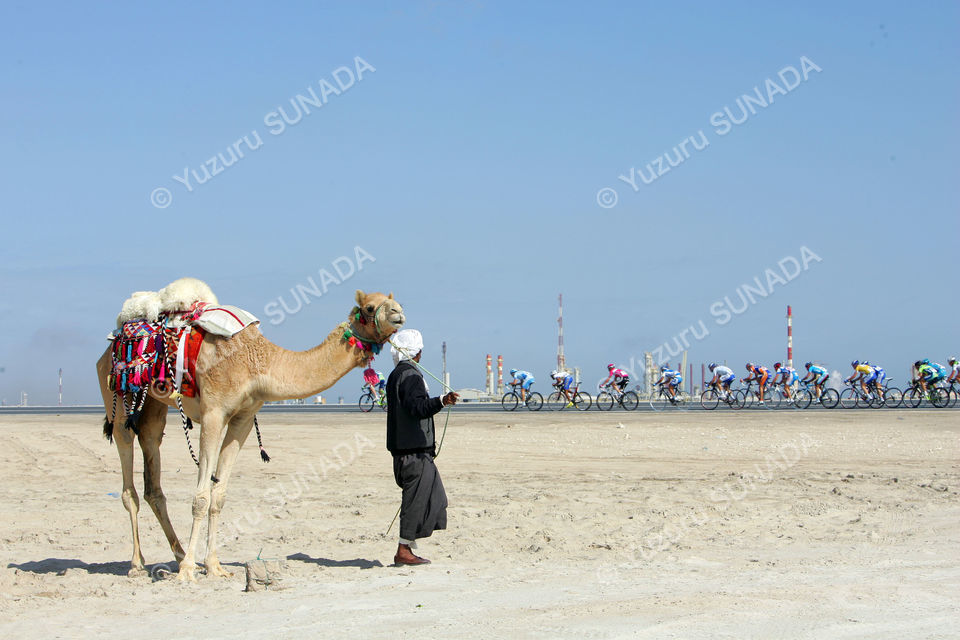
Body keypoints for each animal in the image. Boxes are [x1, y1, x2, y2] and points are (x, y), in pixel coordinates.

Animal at [94, 284, 402, 580]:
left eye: (393, 301)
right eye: (370, 307)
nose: (399, 313)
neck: (258, 362)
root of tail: (108, 346)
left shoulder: (243, 417)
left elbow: (219, 495)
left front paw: (214, 566)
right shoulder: (213, 413)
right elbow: (201, 497)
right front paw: (188, 572)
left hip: (154, 405)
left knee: (152, 463)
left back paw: (178, 555)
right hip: (115, 394)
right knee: (127, 470)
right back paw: (139, 564)